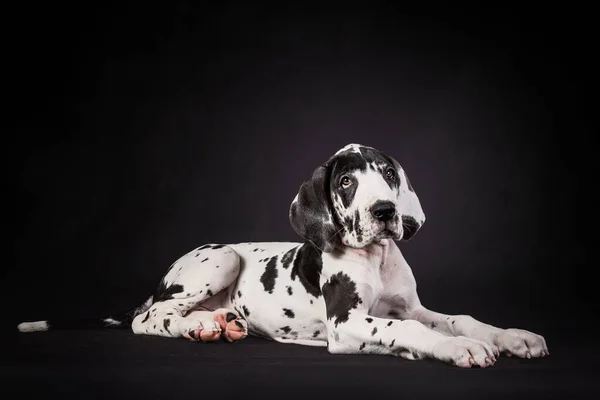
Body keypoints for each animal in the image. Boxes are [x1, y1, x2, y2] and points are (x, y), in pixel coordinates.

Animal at [17, 142, 548, 368]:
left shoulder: (409, 306)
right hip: (221, 259)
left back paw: (219, 322)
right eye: (346, 181)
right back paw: (202, 323)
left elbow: (459, 318)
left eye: (388, 174)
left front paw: (510, 336)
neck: (375, 257)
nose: (384, 211)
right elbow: (412, 332)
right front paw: (457, 349)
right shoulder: (346, 323)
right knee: (150, 317)